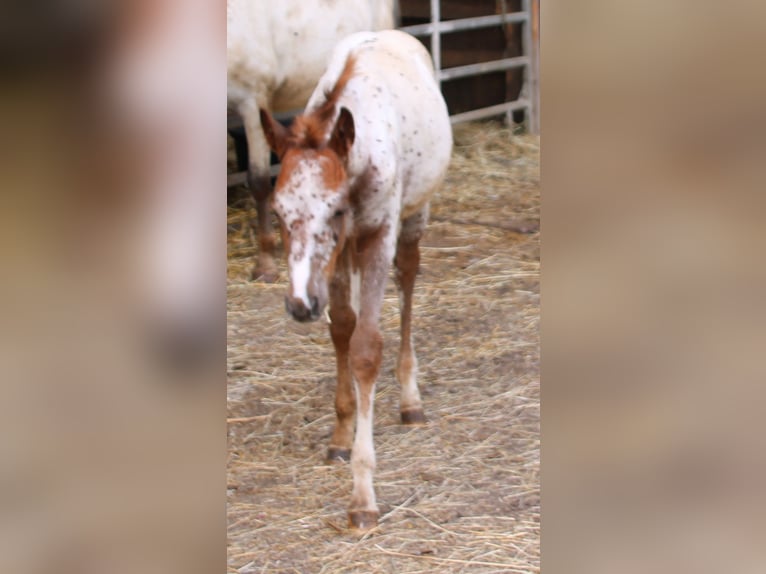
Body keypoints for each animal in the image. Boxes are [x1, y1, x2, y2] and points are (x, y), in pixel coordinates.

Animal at [260, 28, 452, 532]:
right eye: (278, 212)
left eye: (335, 209)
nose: (299, 304)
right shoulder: (338, 254)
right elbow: (342, 329)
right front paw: (341, 435)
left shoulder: (375, 234)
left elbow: (366, 348)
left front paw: (363, 495)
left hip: (416, 214)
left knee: (408, 279)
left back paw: (410, 398)